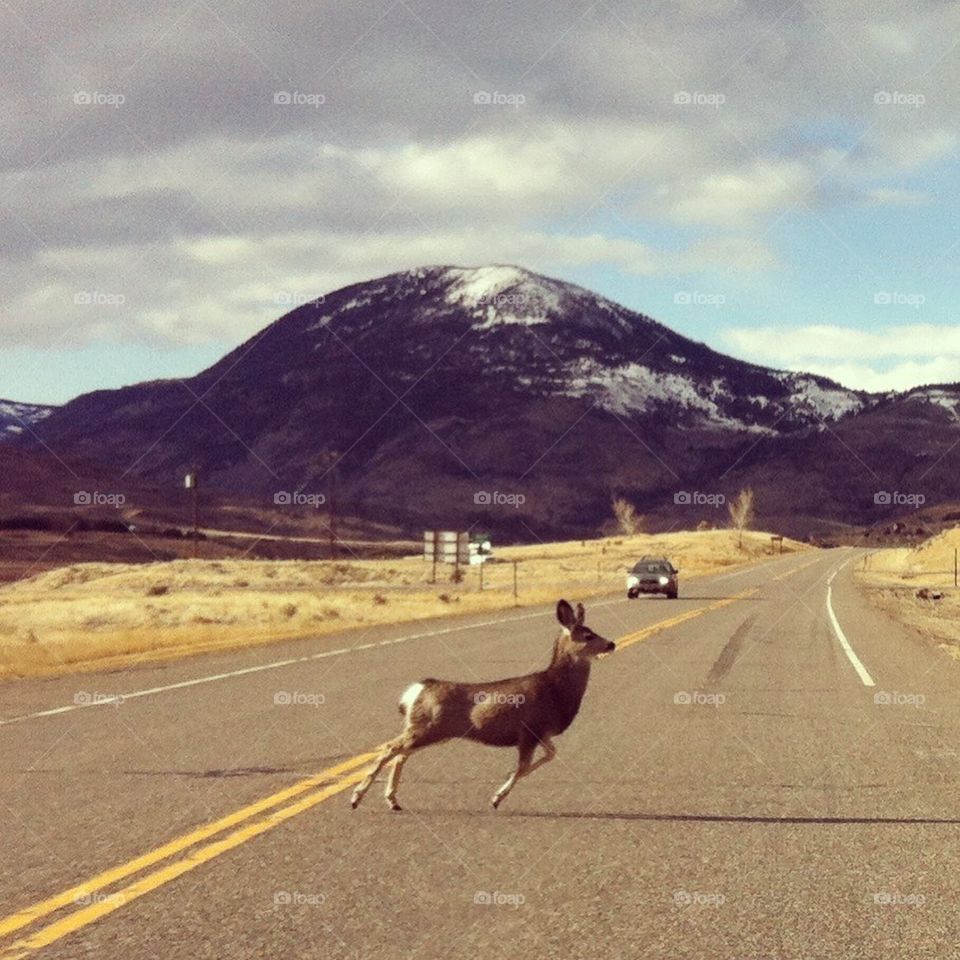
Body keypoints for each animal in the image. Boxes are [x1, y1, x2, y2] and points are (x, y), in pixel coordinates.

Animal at [350, 599, 615, 812]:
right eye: (588, 636)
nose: (611, 644)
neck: (556, 690)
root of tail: (417, 690)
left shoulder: (542, 733)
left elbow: (549, 755)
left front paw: (502, 788)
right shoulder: (528, 731)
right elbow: (523, 766)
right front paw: (496, 798)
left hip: (428, 730)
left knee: (399, 754)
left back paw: (392, 800)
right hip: (427, 727)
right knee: (389, 748)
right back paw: (356, 798)